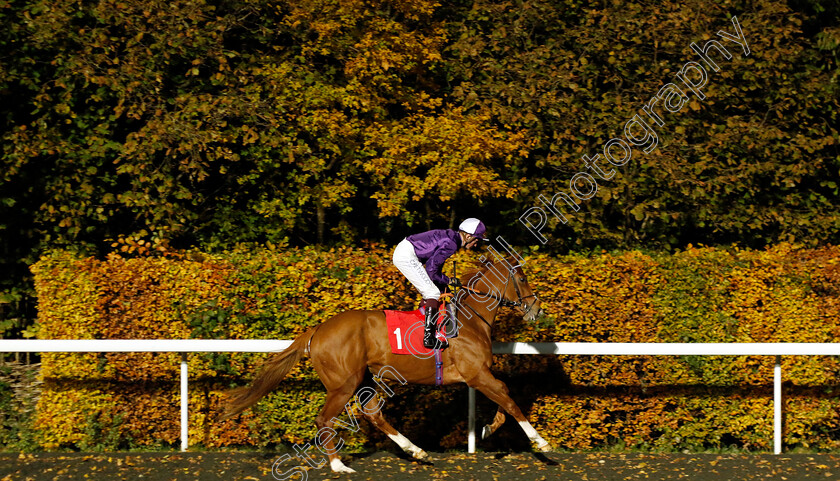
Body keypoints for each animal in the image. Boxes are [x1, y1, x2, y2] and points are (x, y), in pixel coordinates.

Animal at [223, 256, 552, 470]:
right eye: (523, 278)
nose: (536, 307)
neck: (470, 320)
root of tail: (317, 330)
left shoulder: (480, 375)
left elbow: (505, 399)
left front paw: (486, 429)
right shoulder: (476, 375)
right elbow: (509, 399)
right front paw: (542, 443)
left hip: (365, 379)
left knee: (372, 413)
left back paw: (415, 451)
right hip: (343, 384)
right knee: (325, 418)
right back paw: (338, 466)